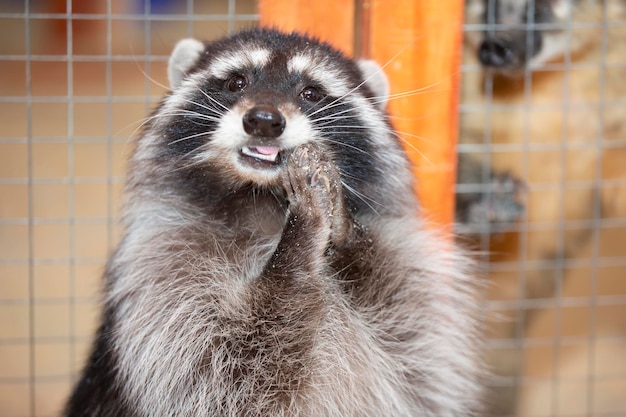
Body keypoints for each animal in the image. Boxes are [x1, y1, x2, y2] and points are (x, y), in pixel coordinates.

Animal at [63, 29, 482, 416]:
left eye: (311, 93)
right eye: (236, 82)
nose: (263, 121)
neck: (262, 199)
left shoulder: (410, 278)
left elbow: (414, 344)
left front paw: (345, 233)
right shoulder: (160, 268)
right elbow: (229, 369)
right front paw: (297, 249)